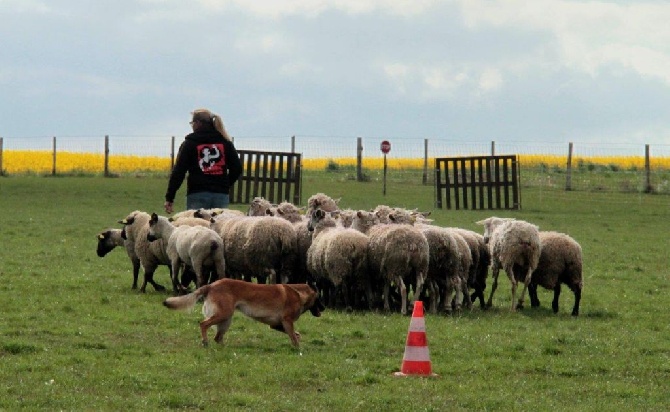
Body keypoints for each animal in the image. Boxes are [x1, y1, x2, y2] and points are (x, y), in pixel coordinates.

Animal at [163, 276, 326, 348]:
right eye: (319, 298)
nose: (324, 308)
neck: (299, 293)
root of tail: (211, 285)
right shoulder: (287, 321)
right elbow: (294, 336)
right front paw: (299, 349)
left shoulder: (277, 324)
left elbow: (295, 335)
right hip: (224, 314)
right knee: (203, 324)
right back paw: (205, 342)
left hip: (226, 319)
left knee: (218, 337)